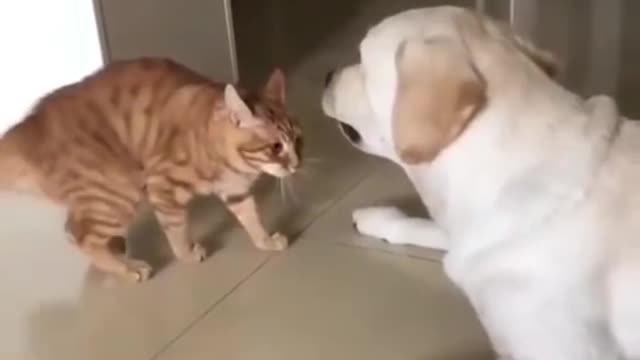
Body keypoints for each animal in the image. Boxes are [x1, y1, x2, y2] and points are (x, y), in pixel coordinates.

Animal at [0, 58, 302, 282]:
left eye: (298, 139)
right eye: (276, 147)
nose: (296, 164)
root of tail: (30, 125)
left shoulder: (236, 191)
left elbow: (252, 219)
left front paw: (265, 241)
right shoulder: (162, 186)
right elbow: (177, 230)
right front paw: (187, 255)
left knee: (72, 229)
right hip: (118, 190)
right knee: (85, 237)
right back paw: (127, 269)